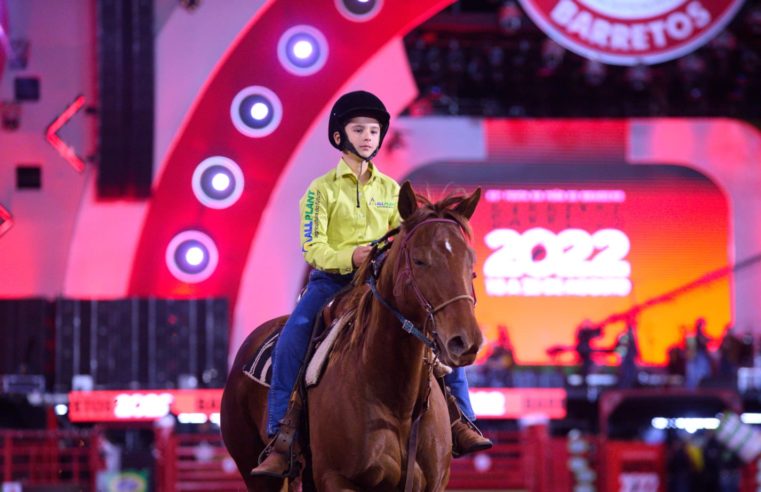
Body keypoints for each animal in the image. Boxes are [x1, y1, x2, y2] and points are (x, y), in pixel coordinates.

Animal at [221, 182, 480, 492]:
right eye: (419, 260)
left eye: (470, 260)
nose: (465, 341)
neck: (397, 401)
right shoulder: (337, 480)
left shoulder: (433, 484)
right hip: (256, 472)